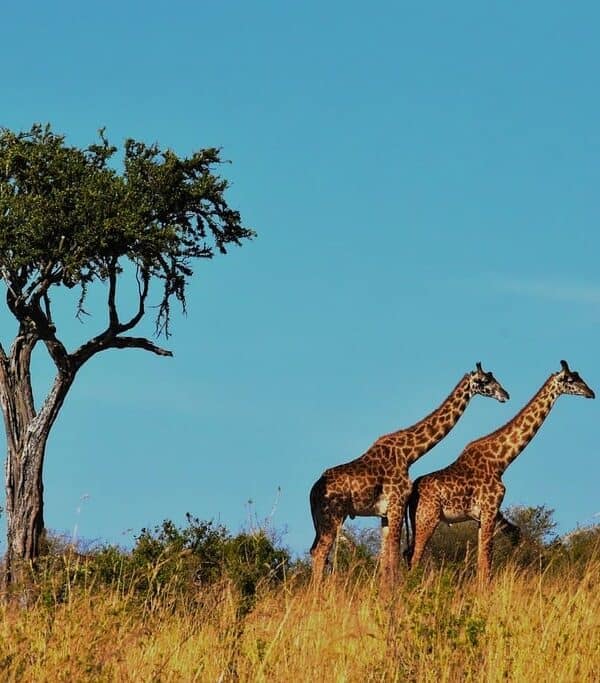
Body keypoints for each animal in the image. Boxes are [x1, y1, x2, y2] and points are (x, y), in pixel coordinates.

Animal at [309, 362, 510, 585]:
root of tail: (313, 493)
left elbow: (386, 557)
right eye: (485, 380)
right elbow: (394, 555)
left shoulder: (386, 513)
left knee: (314, 551)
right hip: (334, 516)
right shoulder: (397, 504)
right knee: (320, 552)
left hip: (322, 520)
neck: (409, 454)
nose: (505, 395)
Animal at [405, 360, 595, 583]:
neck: (501, 461)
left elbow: (483, 560)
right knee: (415, 556)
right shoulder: (490, 509)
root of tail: (412, 493)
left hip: (417, 520)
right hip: (427, 518)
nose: (591, 392)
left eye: (579, 376)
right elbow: (486, 562)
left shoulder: (484, 516)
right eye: (571, 380)